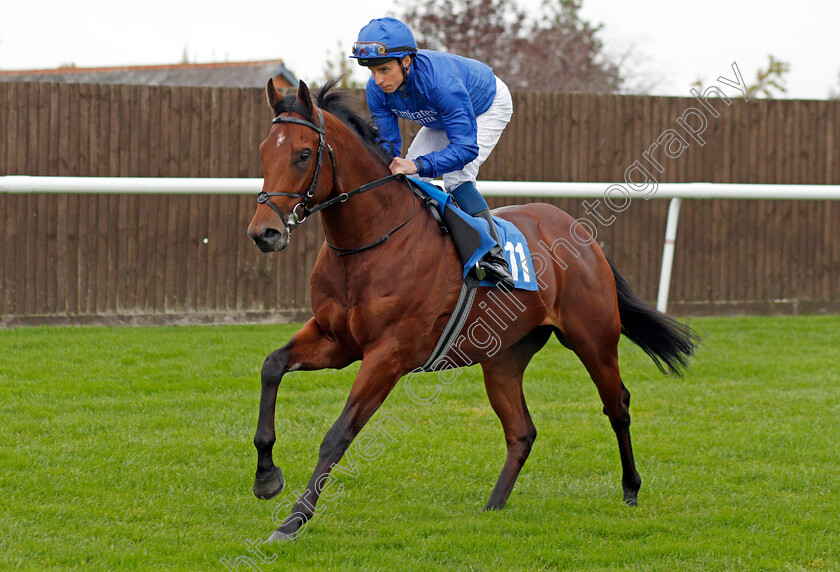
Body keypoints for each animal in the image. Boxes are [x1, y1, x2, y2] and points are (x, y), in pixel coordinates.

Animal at [246, 77, 700, 540]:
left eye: (303, 154)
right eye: (263, 150)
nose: (264, 233)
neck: (370, 242)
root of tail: (580, 231)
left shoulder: (388, 354)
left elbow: (338, 435)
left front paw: (293, 520)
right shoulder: (336, 340)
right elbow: (272, 365)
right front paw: (266, 478)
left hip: (593, 340)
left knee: (617, 406)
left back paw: (631, 489)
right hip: (503, 358)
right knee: (522, 431)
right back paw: (494, 505)